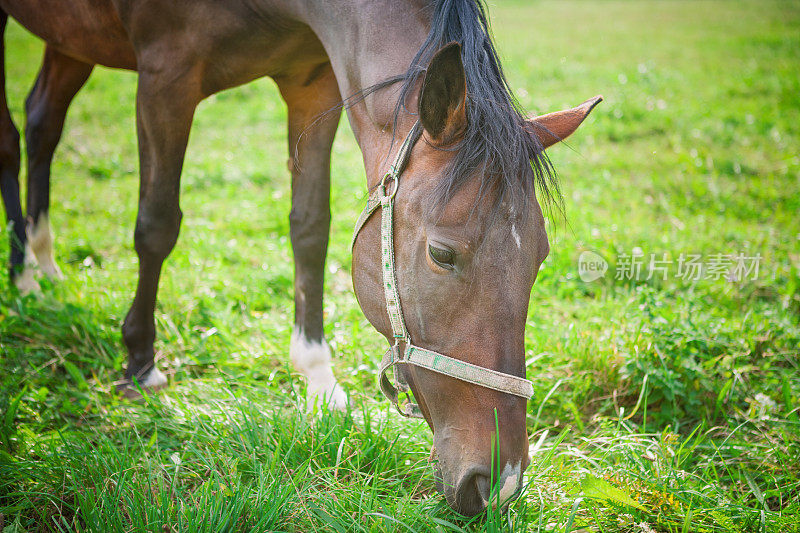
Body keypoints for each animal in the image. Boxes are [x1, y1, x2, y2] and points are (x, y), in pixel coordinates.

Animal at [0, 0, 596, 516]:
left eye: (540, 257)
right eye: (442, 254)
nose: (500, 483)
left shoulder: (312, 83)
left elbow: (310, 226)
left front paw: (317, 377)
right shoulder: (165, 74)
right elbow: (157, 224)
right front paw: (140, 362)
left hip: (70, 39)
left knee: (43, 119)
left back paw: (45, 264)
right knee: (17, 133)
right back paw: (25, 276)